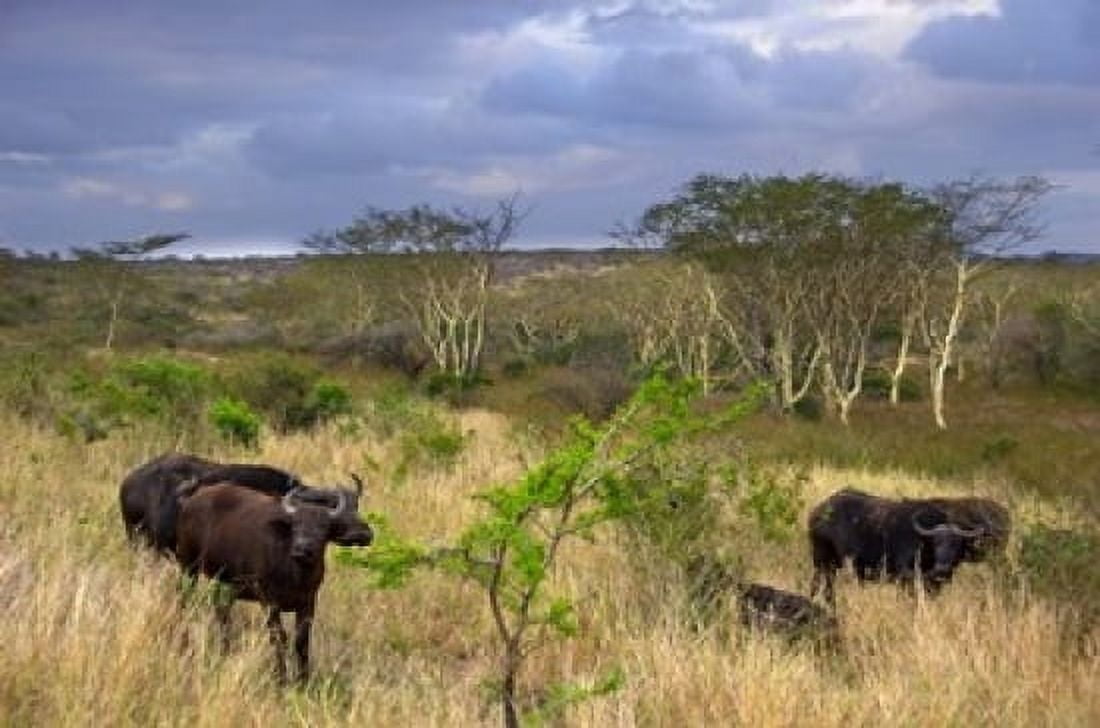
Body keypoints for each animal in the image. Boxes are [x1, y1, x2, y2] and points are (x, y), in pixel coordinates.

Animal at [175, 481, 373, 682]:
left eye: (323, 528)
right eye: (295, 526)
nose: (302, 550)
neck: (295, 574)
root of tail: (193, 499)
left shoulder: (308, 602)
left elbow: (301, 640)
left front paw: (303, 679)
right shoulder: (269, 601)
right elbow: (279, 637)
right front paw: (281, 678)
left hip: (223, 582)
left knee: (222, 613)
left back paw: (224, 651)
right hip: (188, 566)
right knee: (185, 602)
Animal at [808, 488, 1001, 606]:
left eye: (957, 545)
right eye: (936, 543)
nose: (942, 571)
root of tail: (818, 512)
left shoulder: (932, 586)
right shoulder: (904, 578)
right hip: (821, 561)